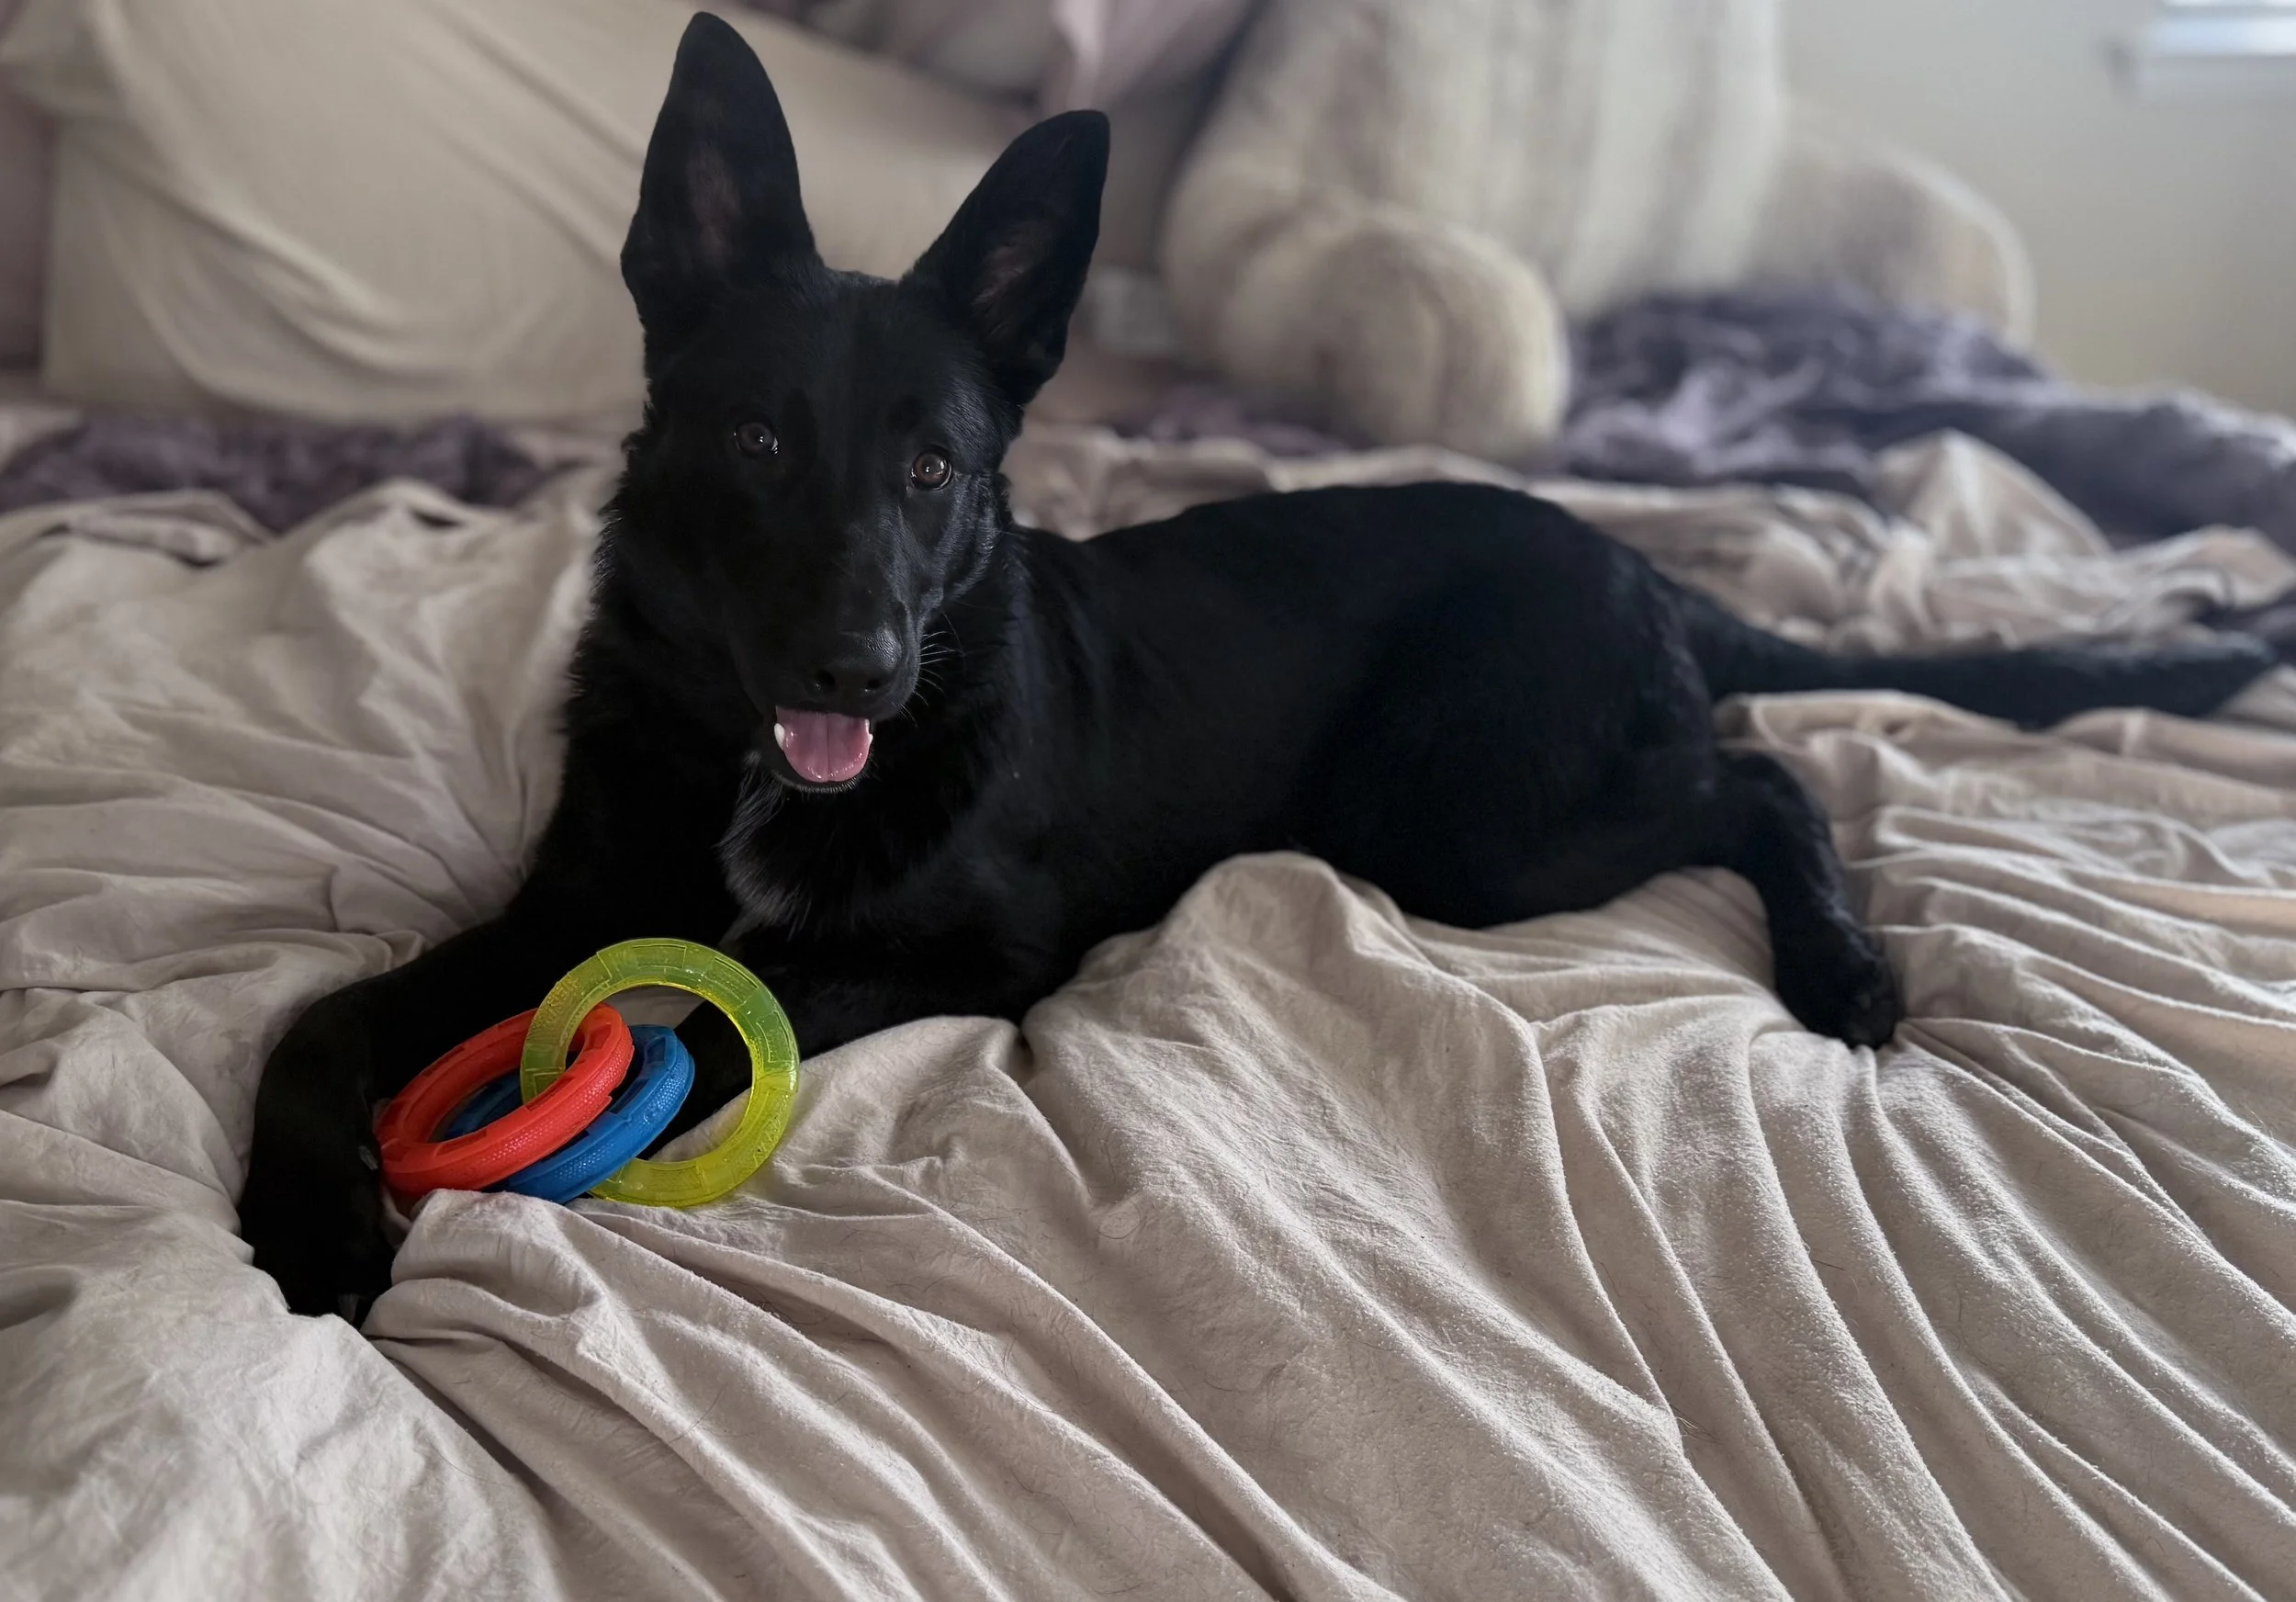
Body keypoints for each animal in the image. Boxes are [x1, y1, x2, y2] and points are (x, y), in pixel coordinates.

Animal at [240, 13, 2277, 1317]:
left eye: (934, 470)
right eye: (752, 444)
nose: (864, 665)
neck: (756, 757)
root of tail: (1632, 557)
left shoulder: (979, 954)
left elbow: (709, 1016)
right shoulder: (559, 903)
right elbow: (323, 1015)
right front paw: (312, 1209)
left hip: (1452, 824)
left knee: (1764, 770)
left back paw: (1841, 959)